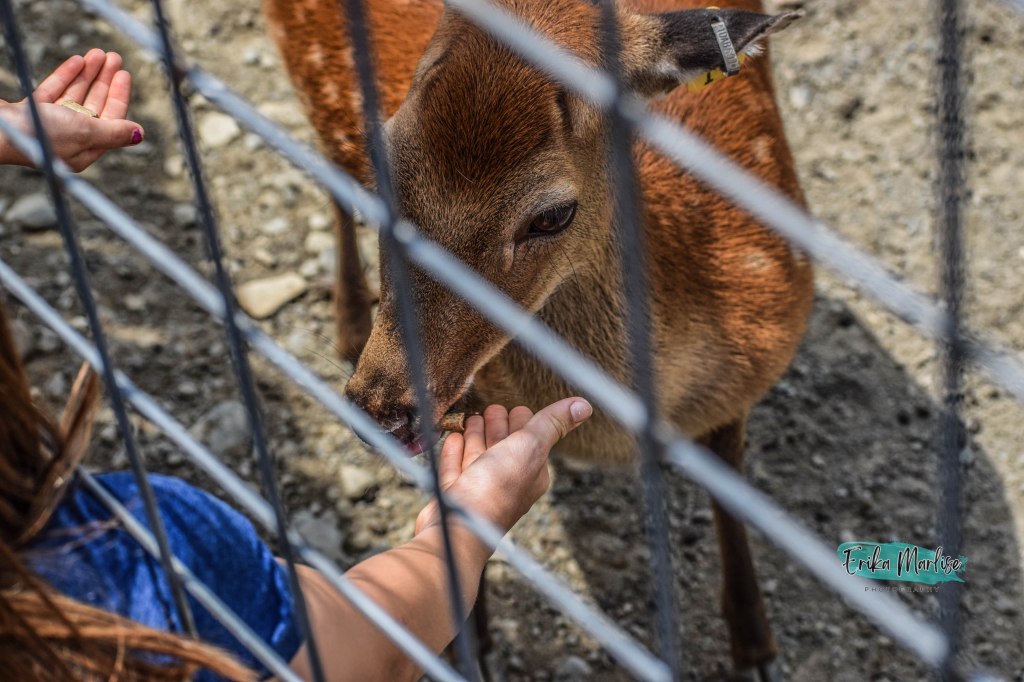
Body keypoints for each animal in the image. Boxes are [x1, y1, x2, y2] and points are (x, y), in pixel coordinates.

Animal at [264, 0, 813, 678]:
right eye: (384, 161)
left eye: (552, 215)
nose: (382, 406)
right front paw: (468, 648)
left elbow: (733, 489)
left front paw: (755, 648)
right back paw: (347, 322)